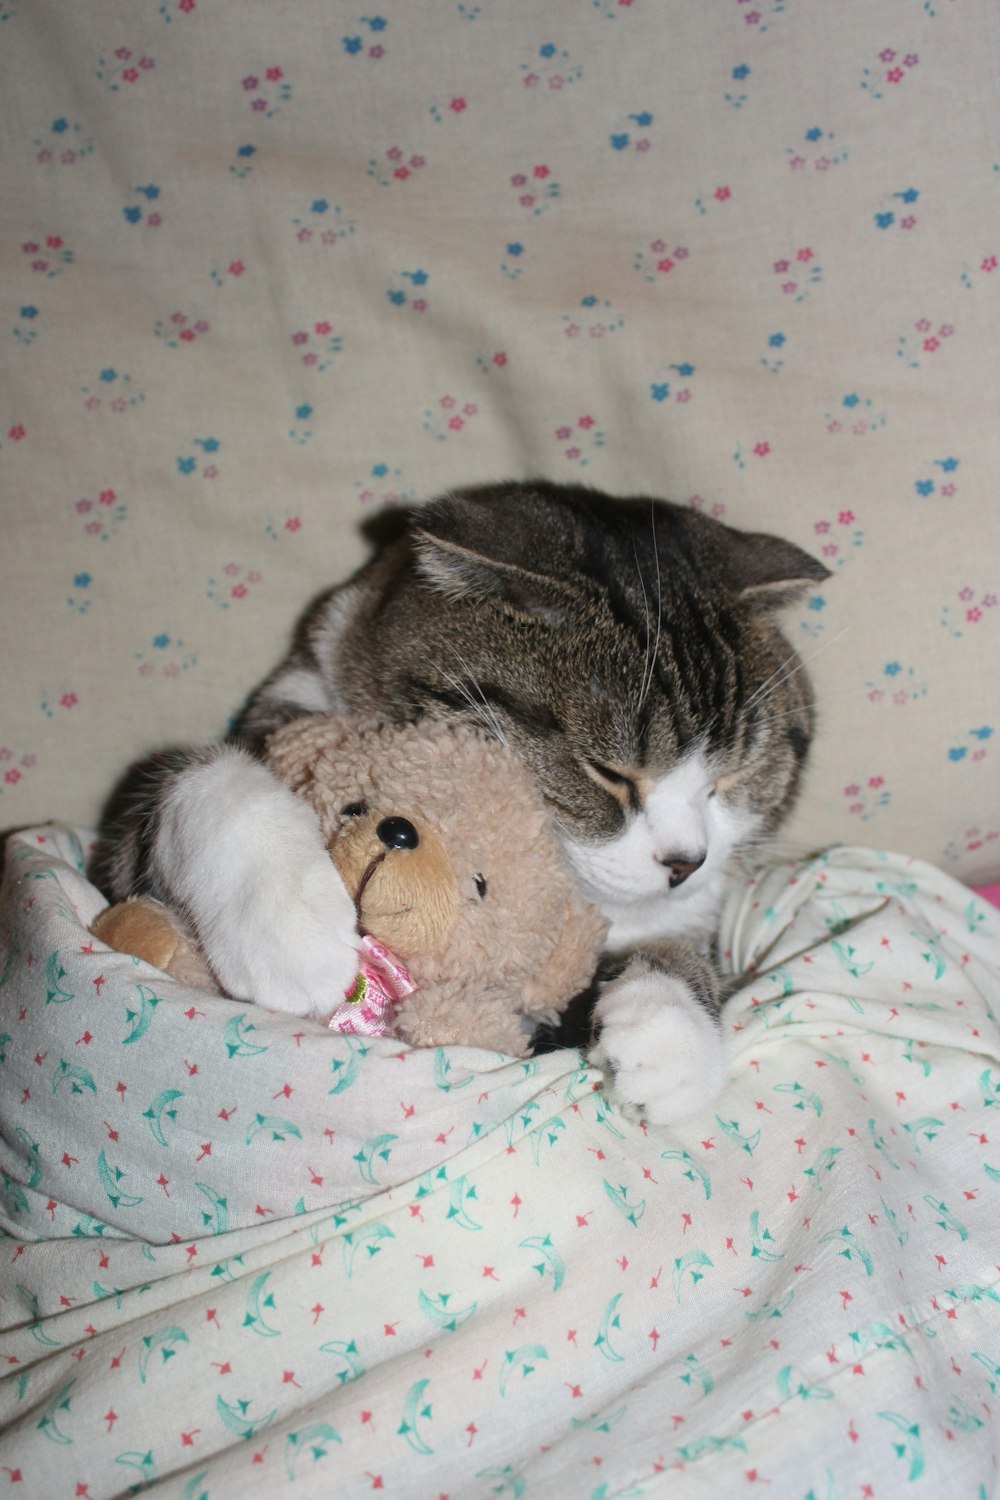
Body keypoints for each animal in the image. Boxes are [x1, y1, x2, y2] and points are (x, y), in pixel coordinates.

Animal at [93, 480, 827, 1128]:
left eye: (736, 775)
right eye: (609, 773)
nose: (685, 862)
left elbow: (675, 947)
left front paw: (670, 1030)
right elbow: (199, 780)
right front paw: (287, 930)